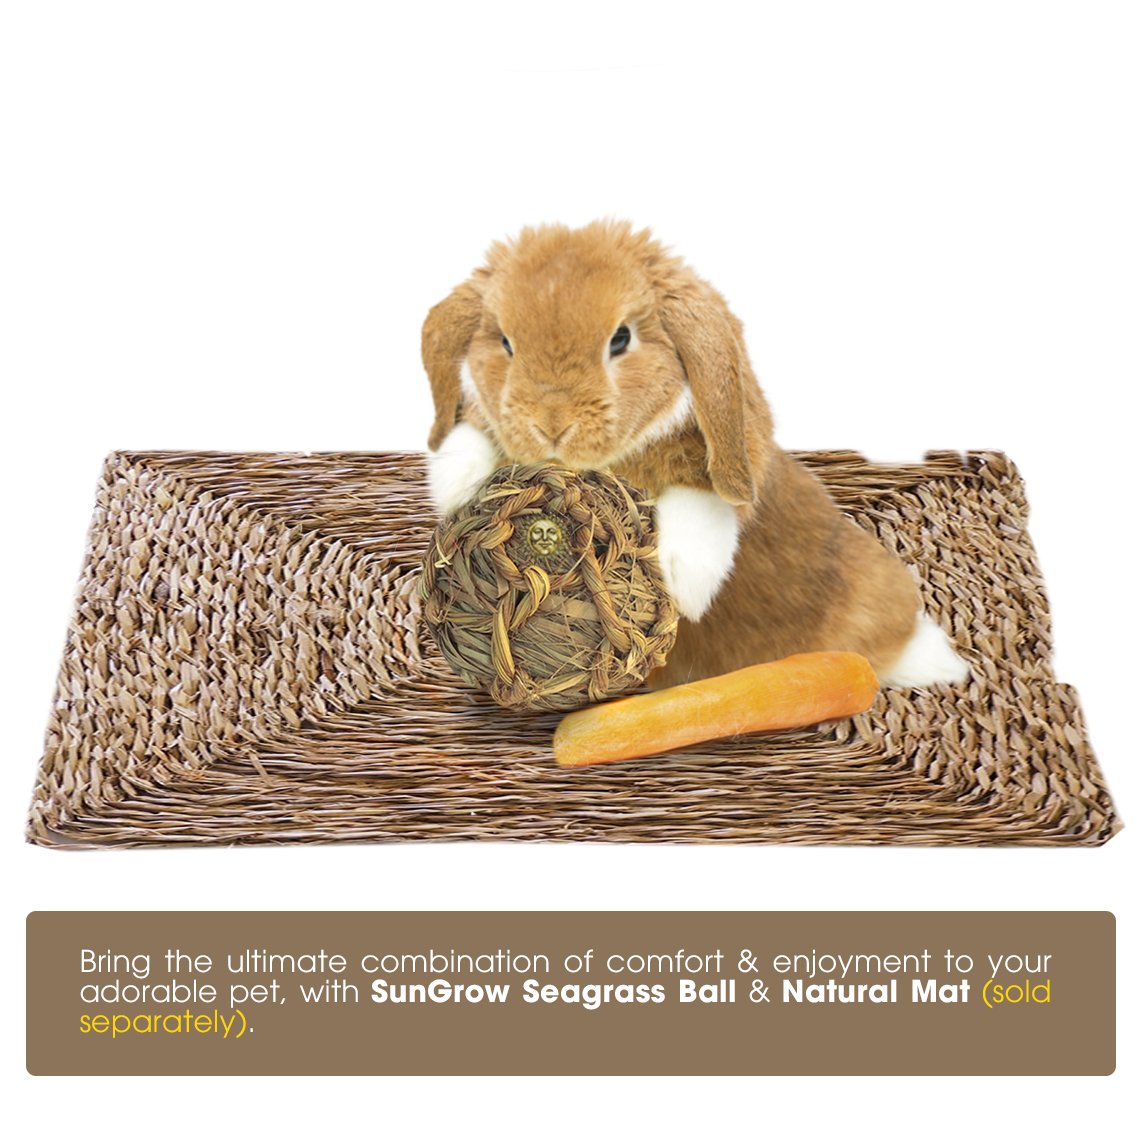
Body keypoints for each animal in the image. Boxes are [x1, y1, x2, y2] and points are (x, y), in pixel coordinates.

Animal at [420, 219, 968, 689]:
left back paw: (939, 663)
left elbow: (701, 508)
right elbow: (469, 441)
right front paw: (454, 489)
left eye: (621, 338)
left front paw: (683, 582)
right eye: (505, 342)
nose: (552, 425)